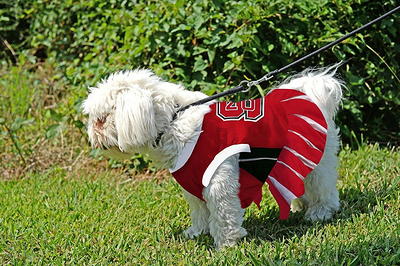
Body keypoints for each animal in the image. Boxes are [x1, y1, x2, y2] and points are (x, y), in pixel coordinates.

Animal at [83, 68, 342, 249]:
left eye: (101, 120)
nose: (92, 136)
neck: (174, 121)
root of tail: (310, 96)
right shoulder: (193, 181)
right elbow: (200, 211)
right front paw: (197, 232)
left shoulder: (219, 182)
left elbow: (223, 213)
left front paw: (226, 244)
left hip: (313, 160)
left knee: (324, 187)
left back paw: (320, 213)